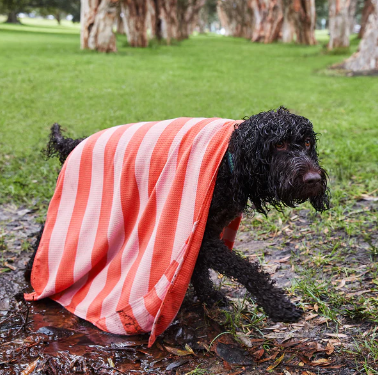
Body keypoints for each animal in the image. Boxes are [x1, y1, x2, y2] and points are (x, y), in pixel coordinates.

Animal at [26, 108, 330, 324]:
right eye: (278, 145)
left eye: (306, 142)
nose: (314, 179)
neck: (228, 163)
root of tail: (77, 142)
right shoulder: (203, 233)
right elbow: (246, 269)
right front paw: (277, 305)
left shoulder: (204, 229)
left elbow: (196, 266)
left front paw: (209, 296)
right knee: (48, 234)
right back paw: (34, 278)